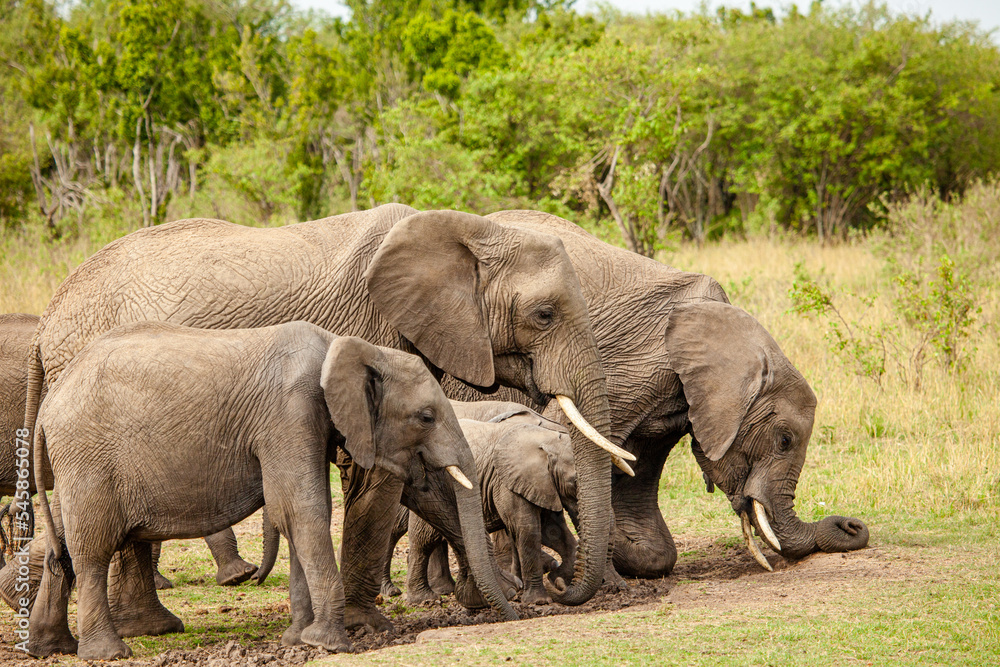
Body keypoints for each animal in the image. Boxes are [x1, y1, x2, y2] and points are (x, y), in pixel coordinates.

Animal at [26, 321, 498, 660]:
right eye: (426, 417)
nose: (499, 612)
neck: (348, 348)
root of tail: (49, 404)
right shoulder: (290, 414)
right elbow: (305, 510)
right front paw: (329, 644)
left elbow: (295, 513)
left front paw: (297, 640)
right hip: (88, 458)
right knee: (92, 549)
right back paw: (107, 653)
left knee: (63, 545)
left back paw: (51, 648)